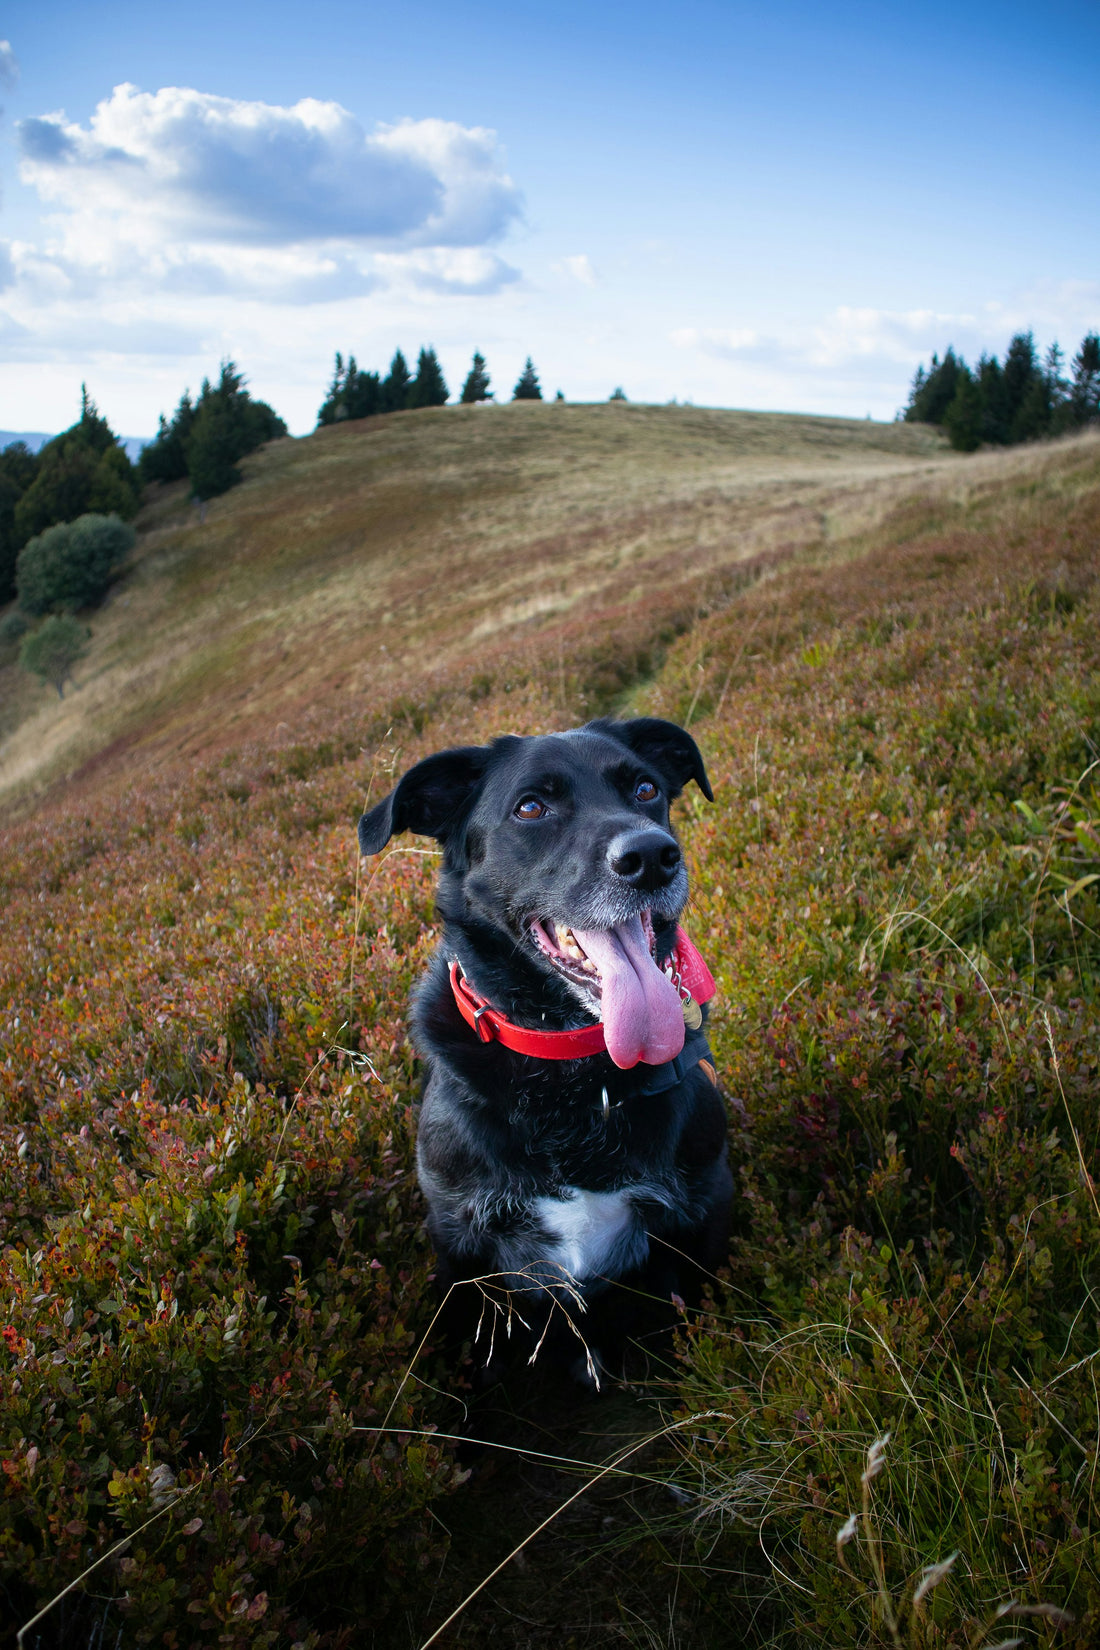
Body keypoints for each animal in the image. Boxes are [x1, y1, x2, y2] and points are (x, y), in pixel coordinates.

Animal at [359, 722, 732, 1379]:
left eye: (645, 789)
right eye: (531, 807)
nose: (652, 857)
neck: (574, 1070)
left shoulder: (701, 1209)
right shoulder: (461, 1243)